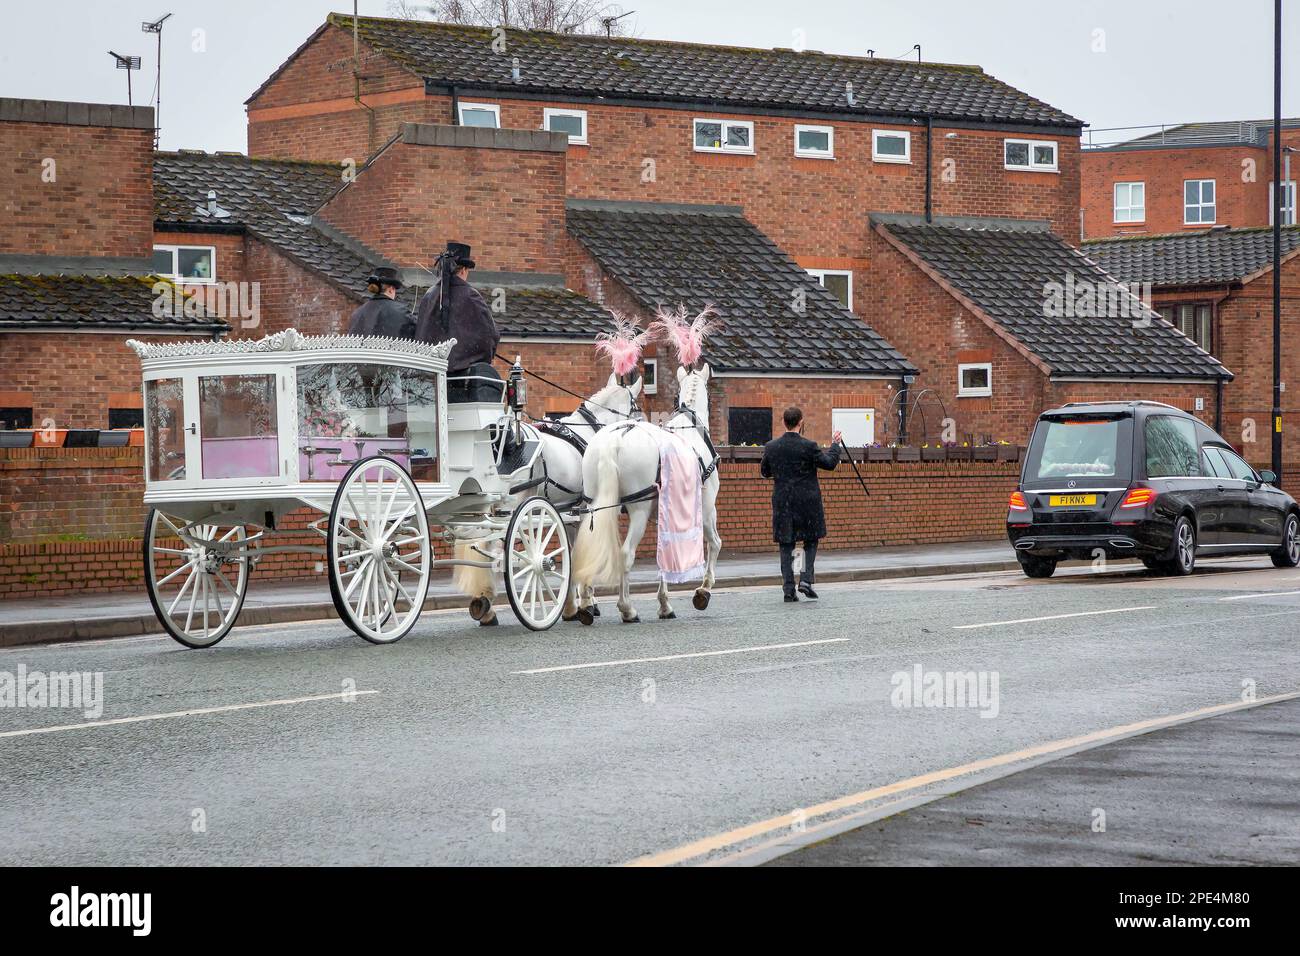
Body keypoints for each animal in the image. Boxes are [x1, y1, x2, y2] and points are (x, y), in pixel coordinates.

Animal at [460, 374, 642, 629]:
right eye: (638, 410)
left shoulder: (569, 512)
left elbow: (571, 554)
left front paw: (573, 606)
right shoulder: (585, 510)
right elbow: (579, 552)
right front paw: (585, 604)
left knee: (484, 547)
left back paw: (484, 604)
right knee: (497, 550)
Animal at [574, 361, 728, 624]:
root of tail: (616, 436)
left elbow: (664, 552)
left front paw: (665, 604)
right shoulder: (707, 509)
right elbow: (714, 542)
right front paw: (704, 590)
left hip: (595, 506)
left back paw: (585, 604)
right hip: (639, 511)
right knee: (626, 554)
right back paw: (627, 608)